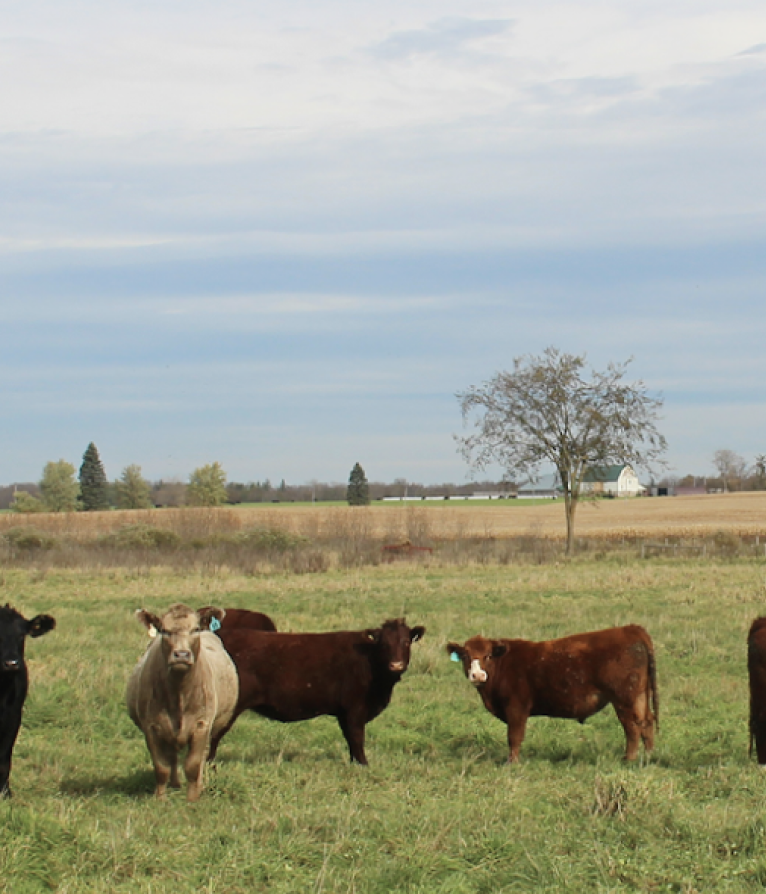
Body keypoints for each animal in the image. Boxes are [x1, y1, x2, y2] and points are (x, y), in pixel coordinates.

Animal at [126, 604, 240, 800]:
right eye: (164, 630)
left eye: (195, 629)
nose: (181, 654)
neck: (179, 695)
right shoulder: (152, 727)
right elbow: (161, 767)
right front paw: (160, 798)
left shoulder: (201, 724)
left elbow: (193, 765)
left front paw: (192, 798)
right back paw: (175, 784)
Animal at [210, 620, 426, 768]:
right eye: (383, 644)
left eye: (406, 642)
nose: (396, 665)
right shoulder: (355, 708)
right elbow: (357, 738)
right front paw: (364, 765)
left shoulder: (344, 713)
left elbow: (350, 739)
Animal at [450, 628, 660, 768]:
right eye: (465, 656)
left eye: (488, 656)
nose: (477, 676)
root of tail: (631, 629)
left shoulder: (517, 707)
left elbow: (514, 737)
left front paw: (512, 763)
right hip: (640, 696)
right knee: (646, 722)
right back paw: (649, 755)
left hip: (623, 700)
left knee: (632, 727)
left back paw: (629, 759)